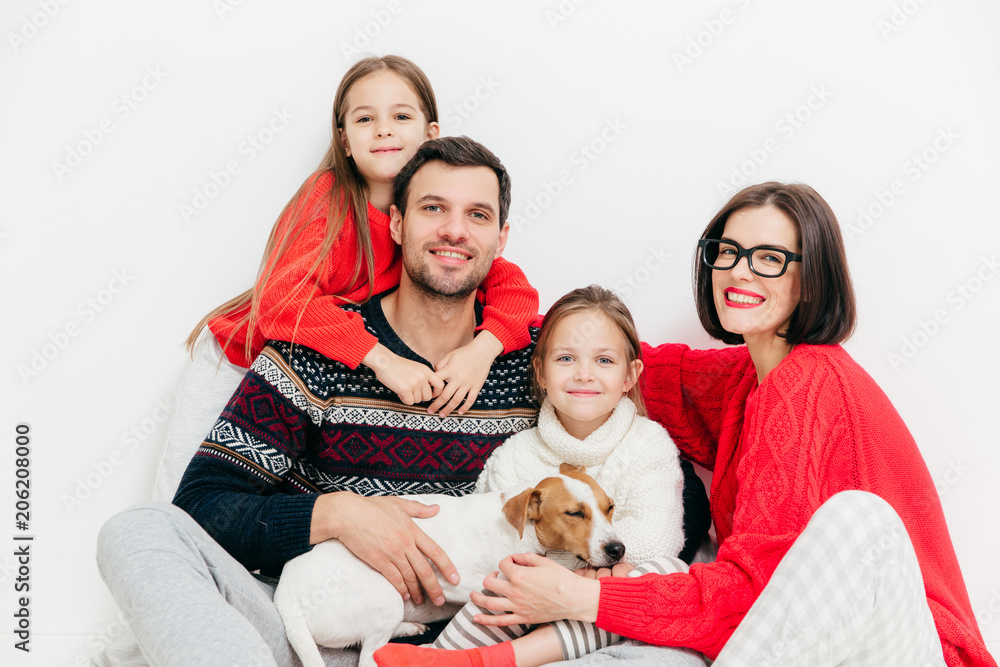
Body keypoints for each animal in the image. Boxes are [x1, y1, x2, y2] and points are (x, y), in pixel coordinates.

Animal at [274, 464, 624, 667]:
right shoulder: (444, 577)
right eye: (574, 513)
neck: (522, 529)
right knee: (369, 657)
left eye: (610, 507)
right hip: (388, 595)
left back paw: (407, 627)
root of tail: (285, 599)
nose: (618, 550)